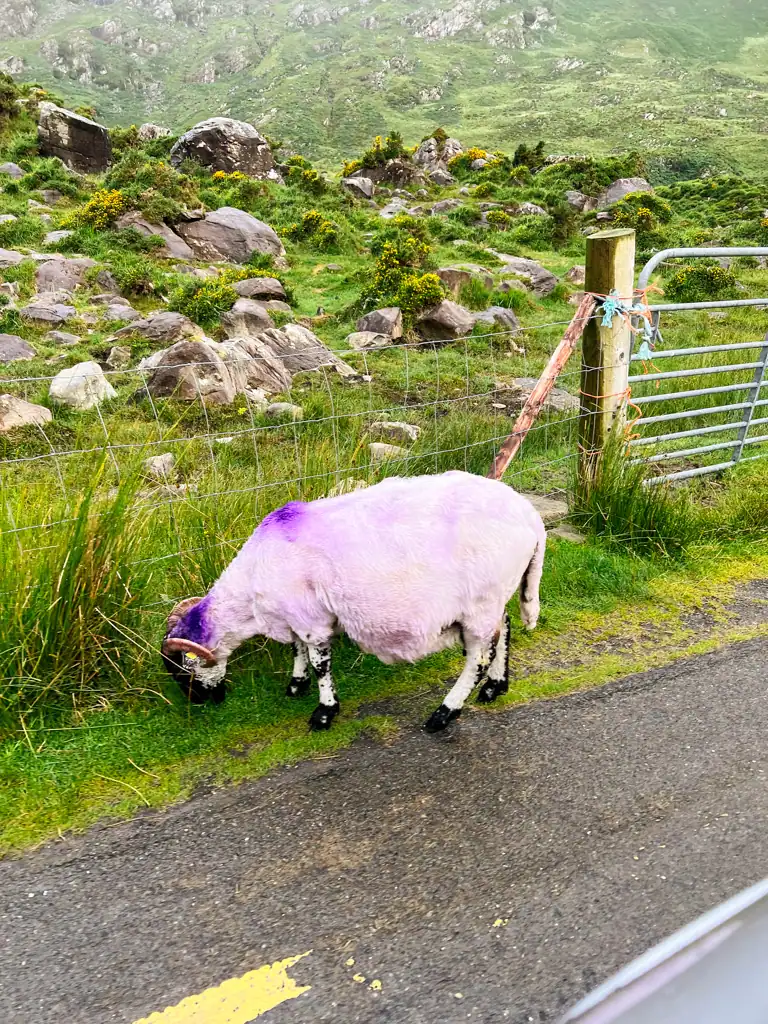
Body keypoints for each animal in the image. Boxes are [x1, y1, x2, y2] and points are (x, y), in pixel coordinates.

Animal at [161, 470, 546, 732]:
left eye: (182, 670)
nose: (203, 703)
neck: (251, 590)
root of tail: (531, 518)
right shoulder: (296, 614)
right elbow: (297, 650)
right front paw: (296, 684)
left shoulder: (311, 620)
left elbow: (320, 663)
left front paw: (324, 712)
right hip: (492, 597)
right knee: (503, 628)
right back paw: (495, 687)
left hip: (482, 600)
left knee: (479, 656)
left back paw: (444, 713)